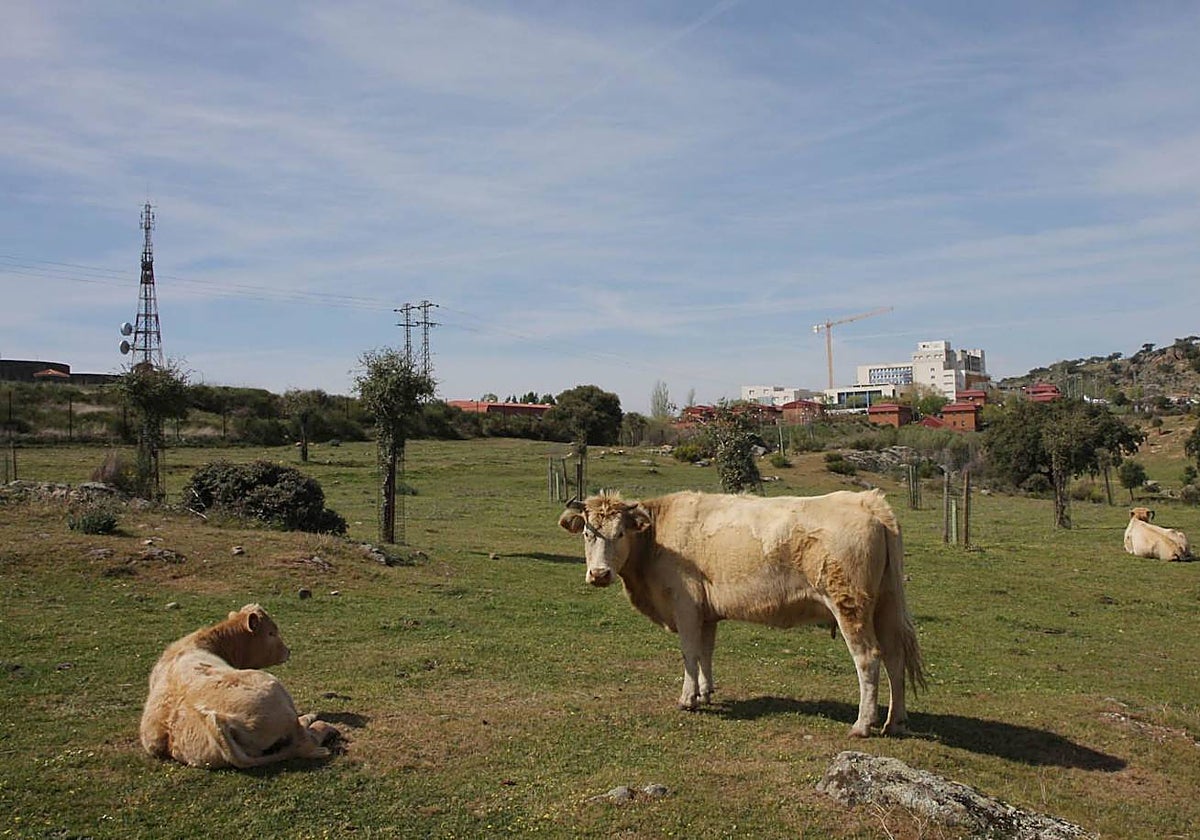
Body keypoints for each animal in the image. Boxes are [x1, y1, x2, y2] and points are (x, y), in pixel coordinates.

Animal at [559, 489, 926, 738]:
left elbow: (689, 652)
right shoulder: (707, 612)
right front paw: (705, 692)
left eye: (620, 533)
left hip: (851, 606)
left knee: (868, 658)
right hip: (886, 605)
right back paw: (895, 721)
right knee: (894, 658)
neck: (656, 538)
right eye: (588, 533)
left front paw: (688, 698)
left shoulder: (685, 604)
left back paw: (863, 724)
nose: (599, 574)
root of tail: (868, 501)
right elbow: (705, 652)